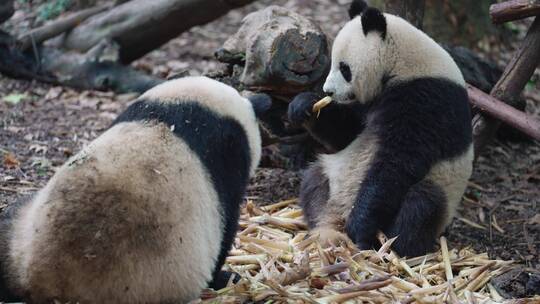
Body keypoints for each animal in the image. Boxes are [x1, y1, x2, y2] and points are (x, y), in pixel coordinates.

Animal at [286, 0, 472, 256]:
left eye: (344, 68)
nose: (328, 91)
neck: (405, 64)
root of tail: (339, 212)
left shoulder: (428, 101)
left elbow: (395, 163)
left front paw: (360, 225)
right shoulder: (370, 102)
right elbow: (346, 132)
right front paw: (304, 106)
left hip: (442, 189)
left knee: (421, 204)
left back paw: (387, 244)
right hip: (332, 174)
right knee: (314, 182)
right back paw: (325, 229)